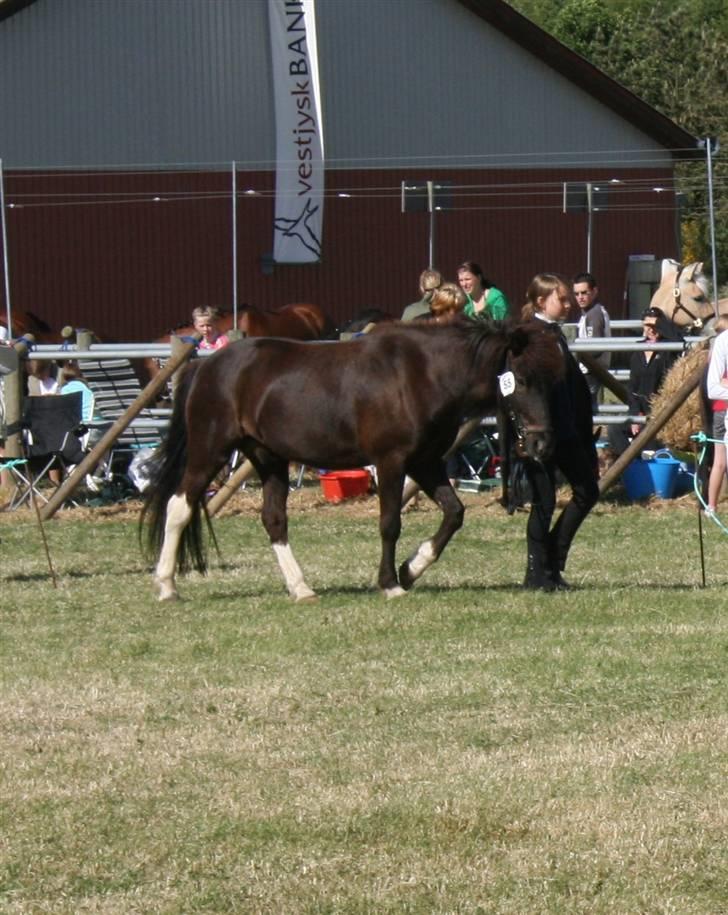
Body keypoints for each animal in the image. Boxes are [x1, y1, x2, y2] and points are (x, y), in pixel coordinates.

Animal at [142, 318, 564, 604]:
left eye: (552, 379)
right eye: (522, 377)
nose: (542, 443)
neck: (422, 374)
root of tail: (205, 366)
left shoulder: (426, 462)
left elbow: (454, 512)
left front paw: (411, 568)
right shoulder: (392, 462)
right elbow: (390, 524)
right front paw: (391, 583)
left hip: (268, 458)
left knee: (274, 520)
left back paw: (301, 588)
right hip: (210, 451)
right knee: (179, 506)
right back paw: (166, 586)